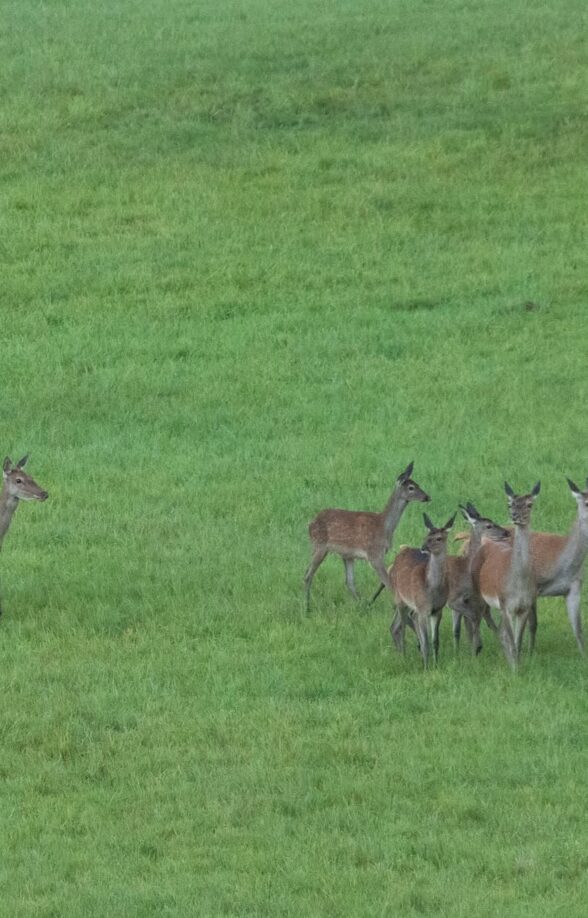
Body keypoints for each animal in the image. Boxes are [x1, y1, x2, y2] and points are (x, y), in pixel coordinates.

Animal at [303, 461, 430, 610]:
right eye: (411, 487)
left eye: (418, 484)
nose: (427, 497)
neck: (384, 527)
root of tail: (310, 524)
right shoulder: (374, 554)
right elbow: (389, 583)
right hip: (320, 545)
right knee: (308, 575)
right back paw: (307, 606)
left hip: (345, 555)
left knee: (349, 582)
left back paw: (362, 605)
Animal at [389, 512, 456, 668]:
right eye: (426, 536)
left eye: (439, 538)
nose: (423, 547)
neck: (432, 589)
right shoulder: (423, 609)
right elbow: (426, 642)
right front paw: (426, 667)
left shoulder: (437, 610)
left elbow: (435, 641)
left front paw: (436, 665)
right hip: (399, 597)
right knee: (401, 627)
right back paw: (404, 656)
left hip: (412, 605)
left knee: (402, 622)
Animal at [472, 482, 540, 668]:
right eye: (510, 504)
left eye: (530, 504)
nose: (515, 516)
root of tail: (487, 543)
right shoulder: (506, 604)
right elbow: (511, 639)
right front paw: (515, 669)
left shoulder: (524, 606)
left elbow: (517, 641)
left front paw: (518, 665)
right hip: (478, 592)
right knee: (478, 619)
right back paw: (476, 650)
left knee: (500, 630)